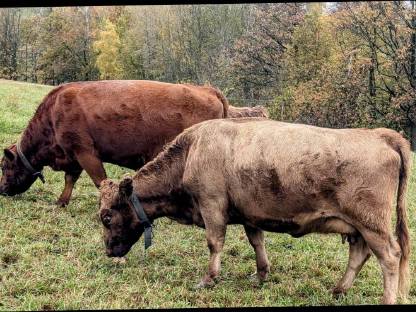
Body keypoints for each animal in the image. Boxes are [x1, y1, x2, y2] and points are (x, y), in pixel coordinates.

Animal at [99, 118, 412, 304]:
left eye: (106, 217)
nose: (109, 250)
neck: (191, 151)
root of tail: (380, 135)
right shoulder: (249, 213)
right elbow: (256, 242)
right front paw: (260, 275)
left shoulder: (212, 205)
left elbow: (215, 243)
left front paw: (208, 279)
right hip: (358, 227)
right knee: (359, 254)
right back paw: (338, 290)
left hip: (373, 224)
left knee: (389, 257)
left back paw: (386, 299)